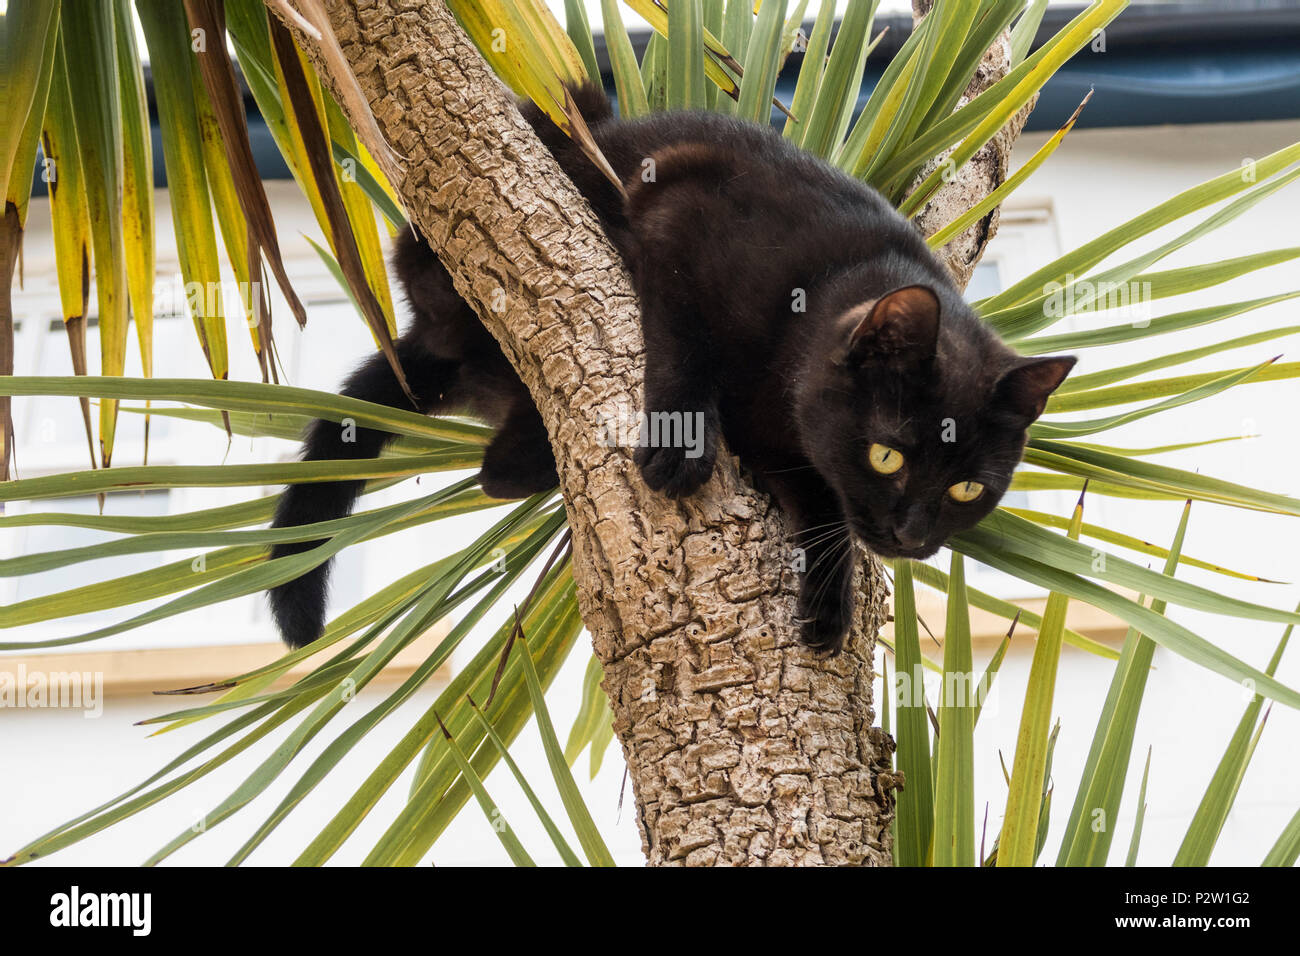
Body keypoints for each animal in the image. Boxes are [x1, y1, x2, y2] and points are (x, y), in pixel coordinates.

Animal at [266, 83, 1076, 650]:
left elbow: (826, 506)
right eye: (889, 456)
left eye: (969, 489)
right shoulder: (687, 207)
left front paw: (829, 601)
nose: (912, 536)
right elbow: (686, 338)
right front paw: (684, 448)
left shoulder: (789, 447)